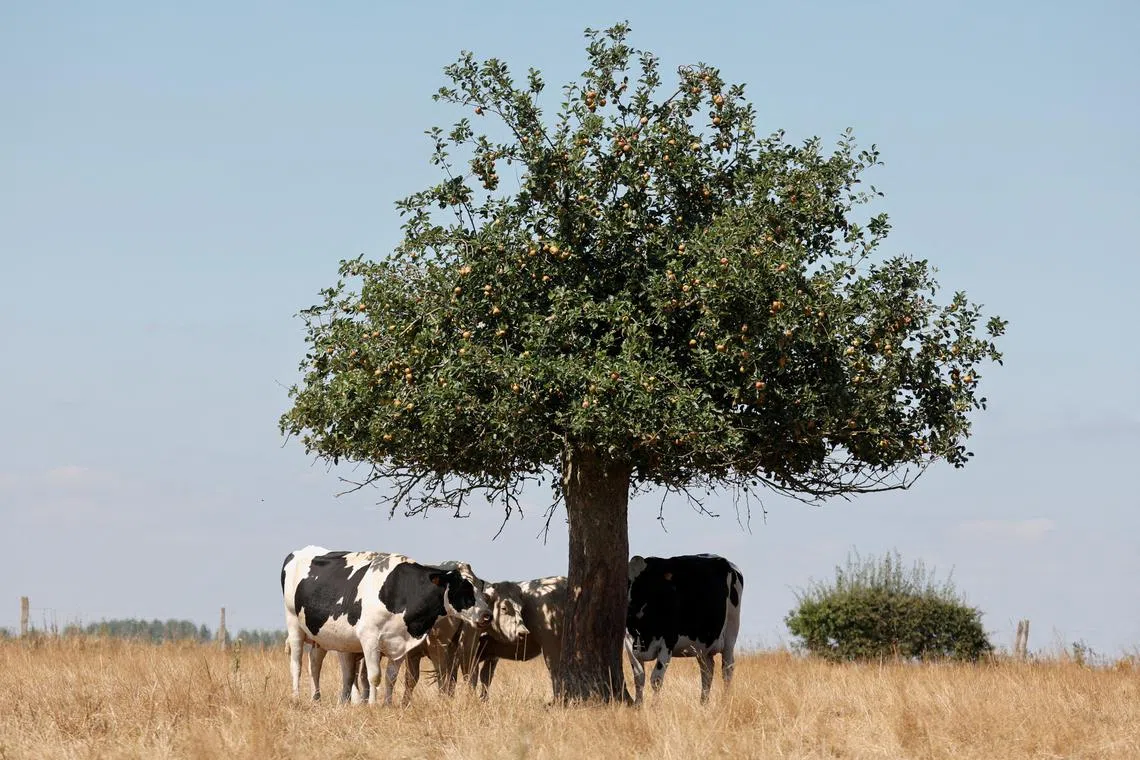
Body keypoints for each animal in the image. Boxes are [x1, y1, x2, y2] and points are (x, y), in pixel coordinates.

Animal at [281, 545, 493, 705]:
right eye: (464, 588)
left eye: (479, 586)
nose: (487, 615)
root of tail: (300, 551)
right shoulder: (369, 639)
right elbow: (374, 676)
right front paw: (372, 705)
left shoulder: (400, 644)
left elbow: (391, 677)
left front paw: (387, 704)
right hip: (294, 625)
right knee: (297, 664)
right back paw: (296, 699)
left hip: (321, 636)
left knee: (315, 664)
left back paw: (316, 699)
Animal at [625, 553, 744, 704]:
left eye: (647, 582)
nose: (629, 607)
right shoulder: (629, 642)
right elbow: (639, 678)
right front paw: (638, 706)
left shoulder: (668, 642)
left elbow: (656, 680)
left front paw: (654, 707)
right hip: (703, 645)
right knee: (707, 671)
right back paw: (703, 703)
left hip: (731, 633)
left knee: (727, 669)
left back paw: (725, 701)